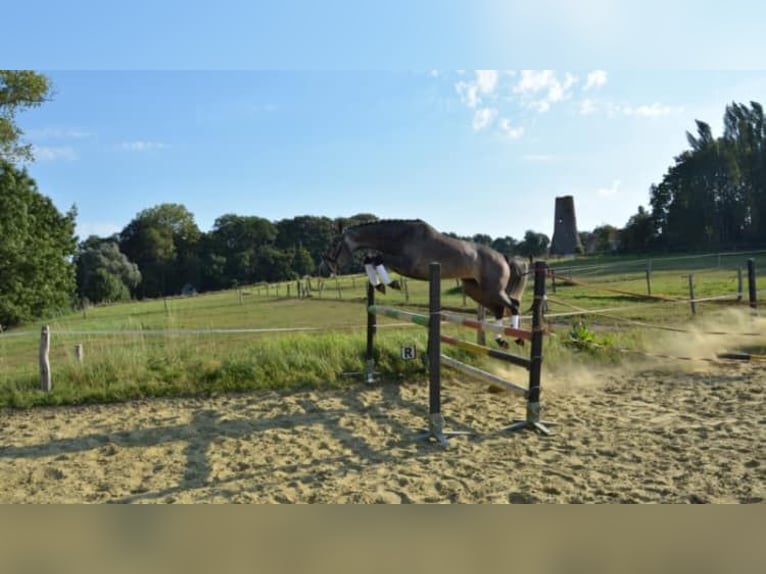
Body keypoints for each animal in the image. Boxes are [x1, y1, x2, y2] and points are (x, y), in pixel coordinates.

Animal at [320, 219, 529, 346]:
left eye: (334, 244)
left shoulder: (405, 265)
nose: (323, 269)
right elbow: (369, 260)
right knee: (499, 309)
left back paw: (518, 339)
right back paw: (501, 340)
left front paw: (391, 284)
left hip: (493, 289)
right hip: (476, 290)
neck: (401, 237)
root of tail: (503, 257)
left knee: (513, 304)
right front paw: (379, 286)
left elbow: (377, 259)